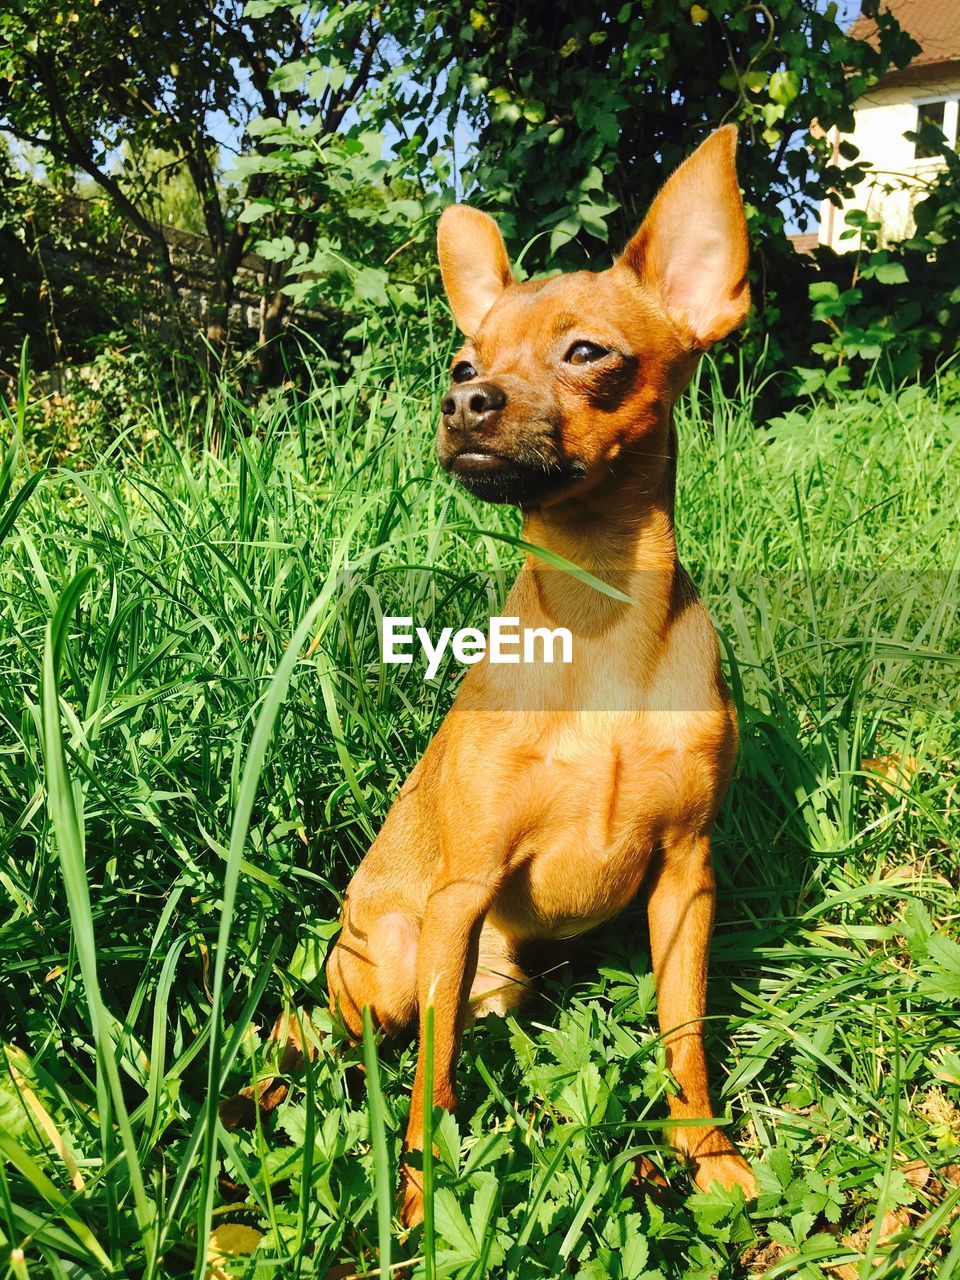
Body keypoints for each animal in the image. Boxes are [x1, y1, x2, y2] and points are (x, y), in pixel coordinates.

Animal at [330, 127, 757, 1218]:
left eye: (586, 353)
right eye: (463, 360)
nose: (462, 400)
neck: (599, 620)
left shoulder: (684, 883)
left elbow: (684, 1035)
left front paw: (705, 1152)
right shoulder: (464, 889)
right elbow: (431, 1085)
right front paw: (420, 1198)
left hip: (501, 977)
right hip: (402, 957)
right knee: (375, 1036)